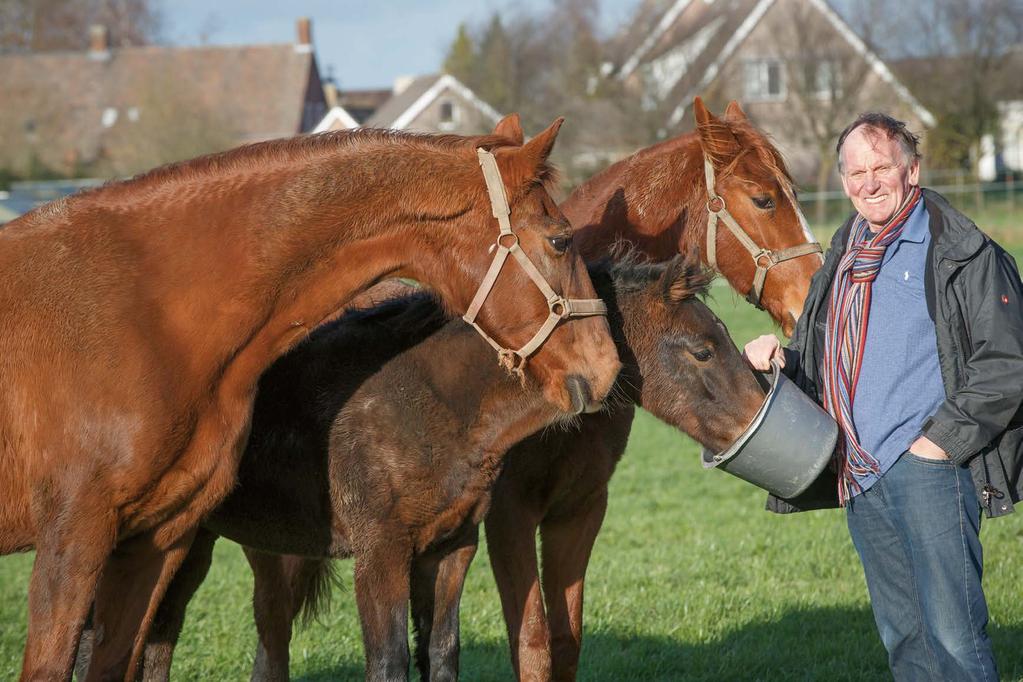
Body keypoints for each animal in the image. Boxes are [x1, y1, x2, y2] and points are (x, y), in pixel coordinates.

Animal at [121, 253, 761, 678]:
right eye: (702, 350)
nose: (758, 411)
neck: (432, 399)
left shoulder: (451, 547)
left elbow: (440, 652)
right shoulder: (380, 554)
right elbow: (389, 661)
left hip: (197, 543)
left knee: (159, 640)